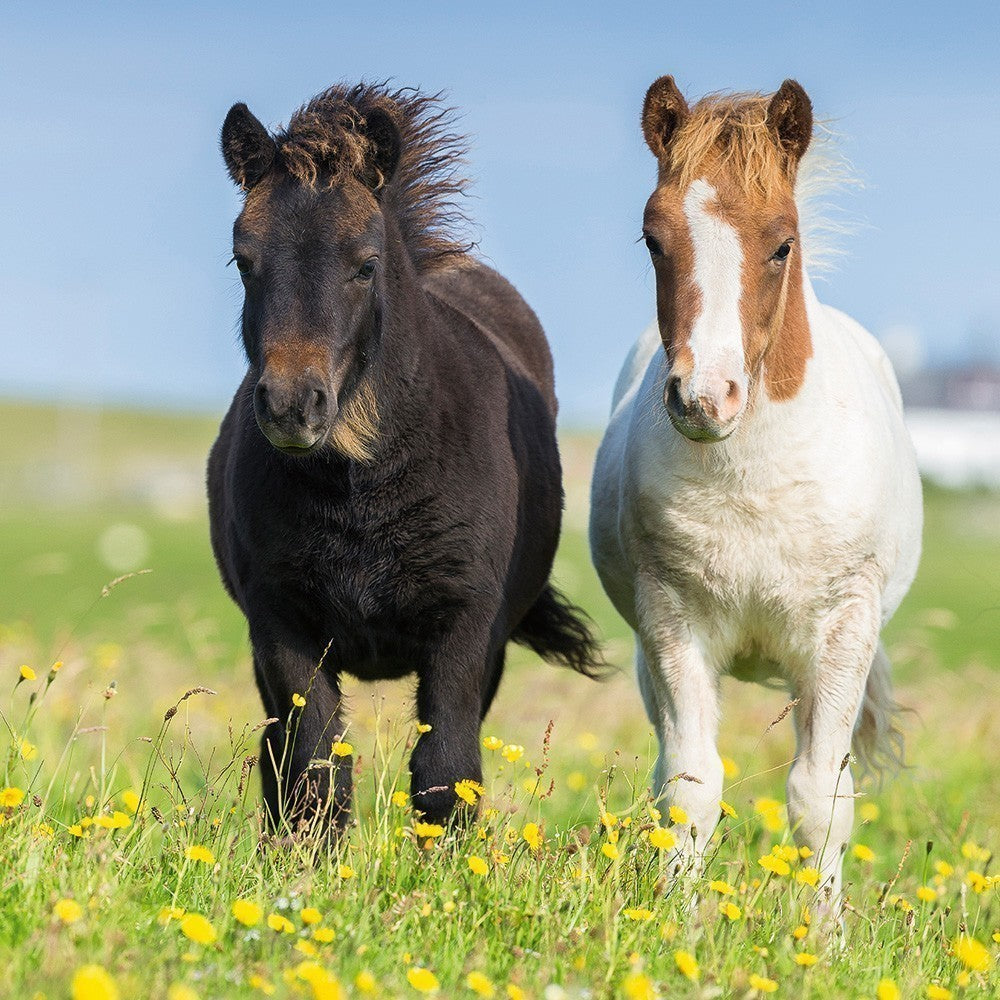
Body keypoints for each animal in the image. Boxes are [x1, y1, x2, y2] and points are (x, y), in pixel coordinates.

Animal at [208, 82, 598, 834]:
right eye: (243, 260)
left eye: (365, 265)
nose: (292, 406)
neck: (362, 488)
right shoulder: (282, 627)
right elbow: (313, 772)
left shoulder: (464, 629)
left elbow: (446, 774)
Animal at [589, 77, 922, 912]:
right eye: (653, 238)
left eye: (782, 243)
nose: (704, 399)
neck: (754, 477)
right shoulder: (672, 622)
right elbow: (690, 787)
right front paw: (676, 923)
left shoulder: (841, 633)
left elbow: (820, 799)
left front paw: (823, 934)